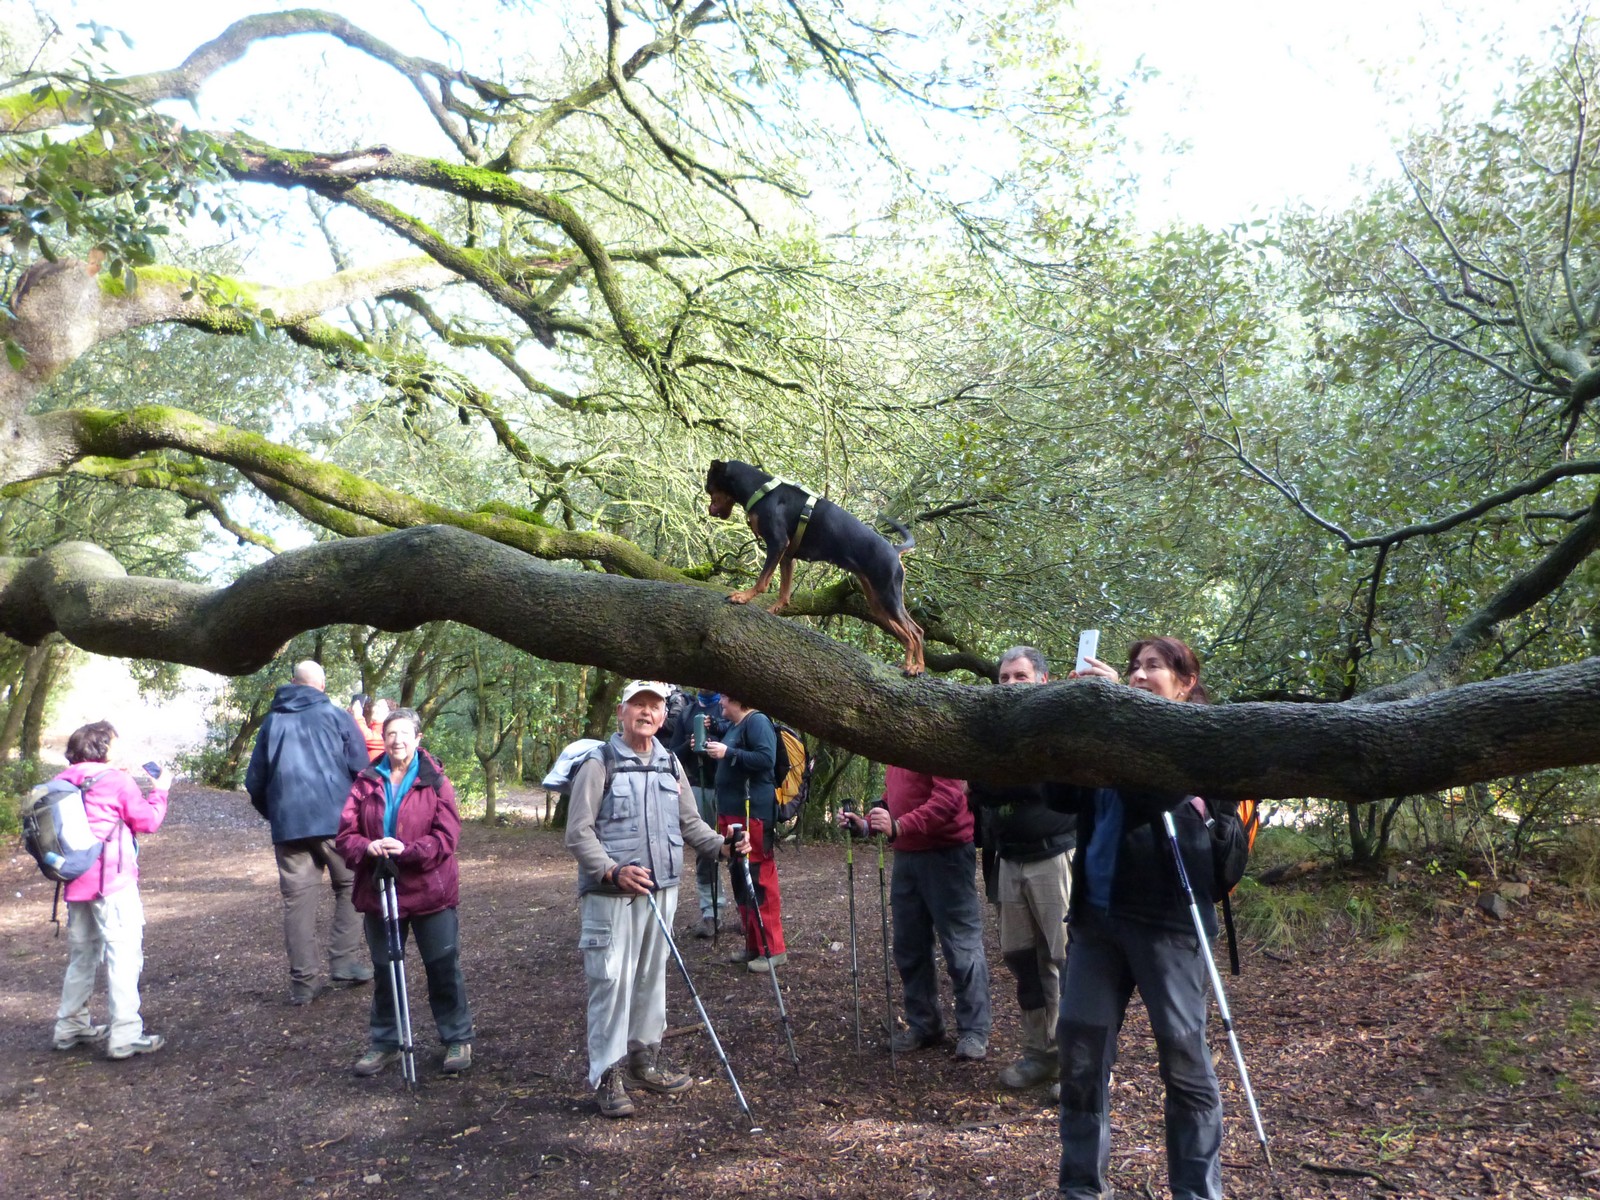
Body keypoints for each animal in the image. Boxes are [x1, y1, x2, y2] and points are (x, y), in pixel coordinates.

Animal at [705, 459, 926, 675]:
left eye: (708, 488)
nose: (709, 511)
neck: (761, 489)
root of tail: (895, 550)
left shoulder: (777, 544)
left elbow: (762, 581)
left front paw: (743, 597)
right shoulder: (787, 556)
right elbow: (784, 594)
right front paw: (772, 610)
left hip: (888, 595)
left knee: (915, 632)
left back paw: (916, 667)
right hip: (877, 602)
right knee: (908, 633)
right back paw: (908, 665)